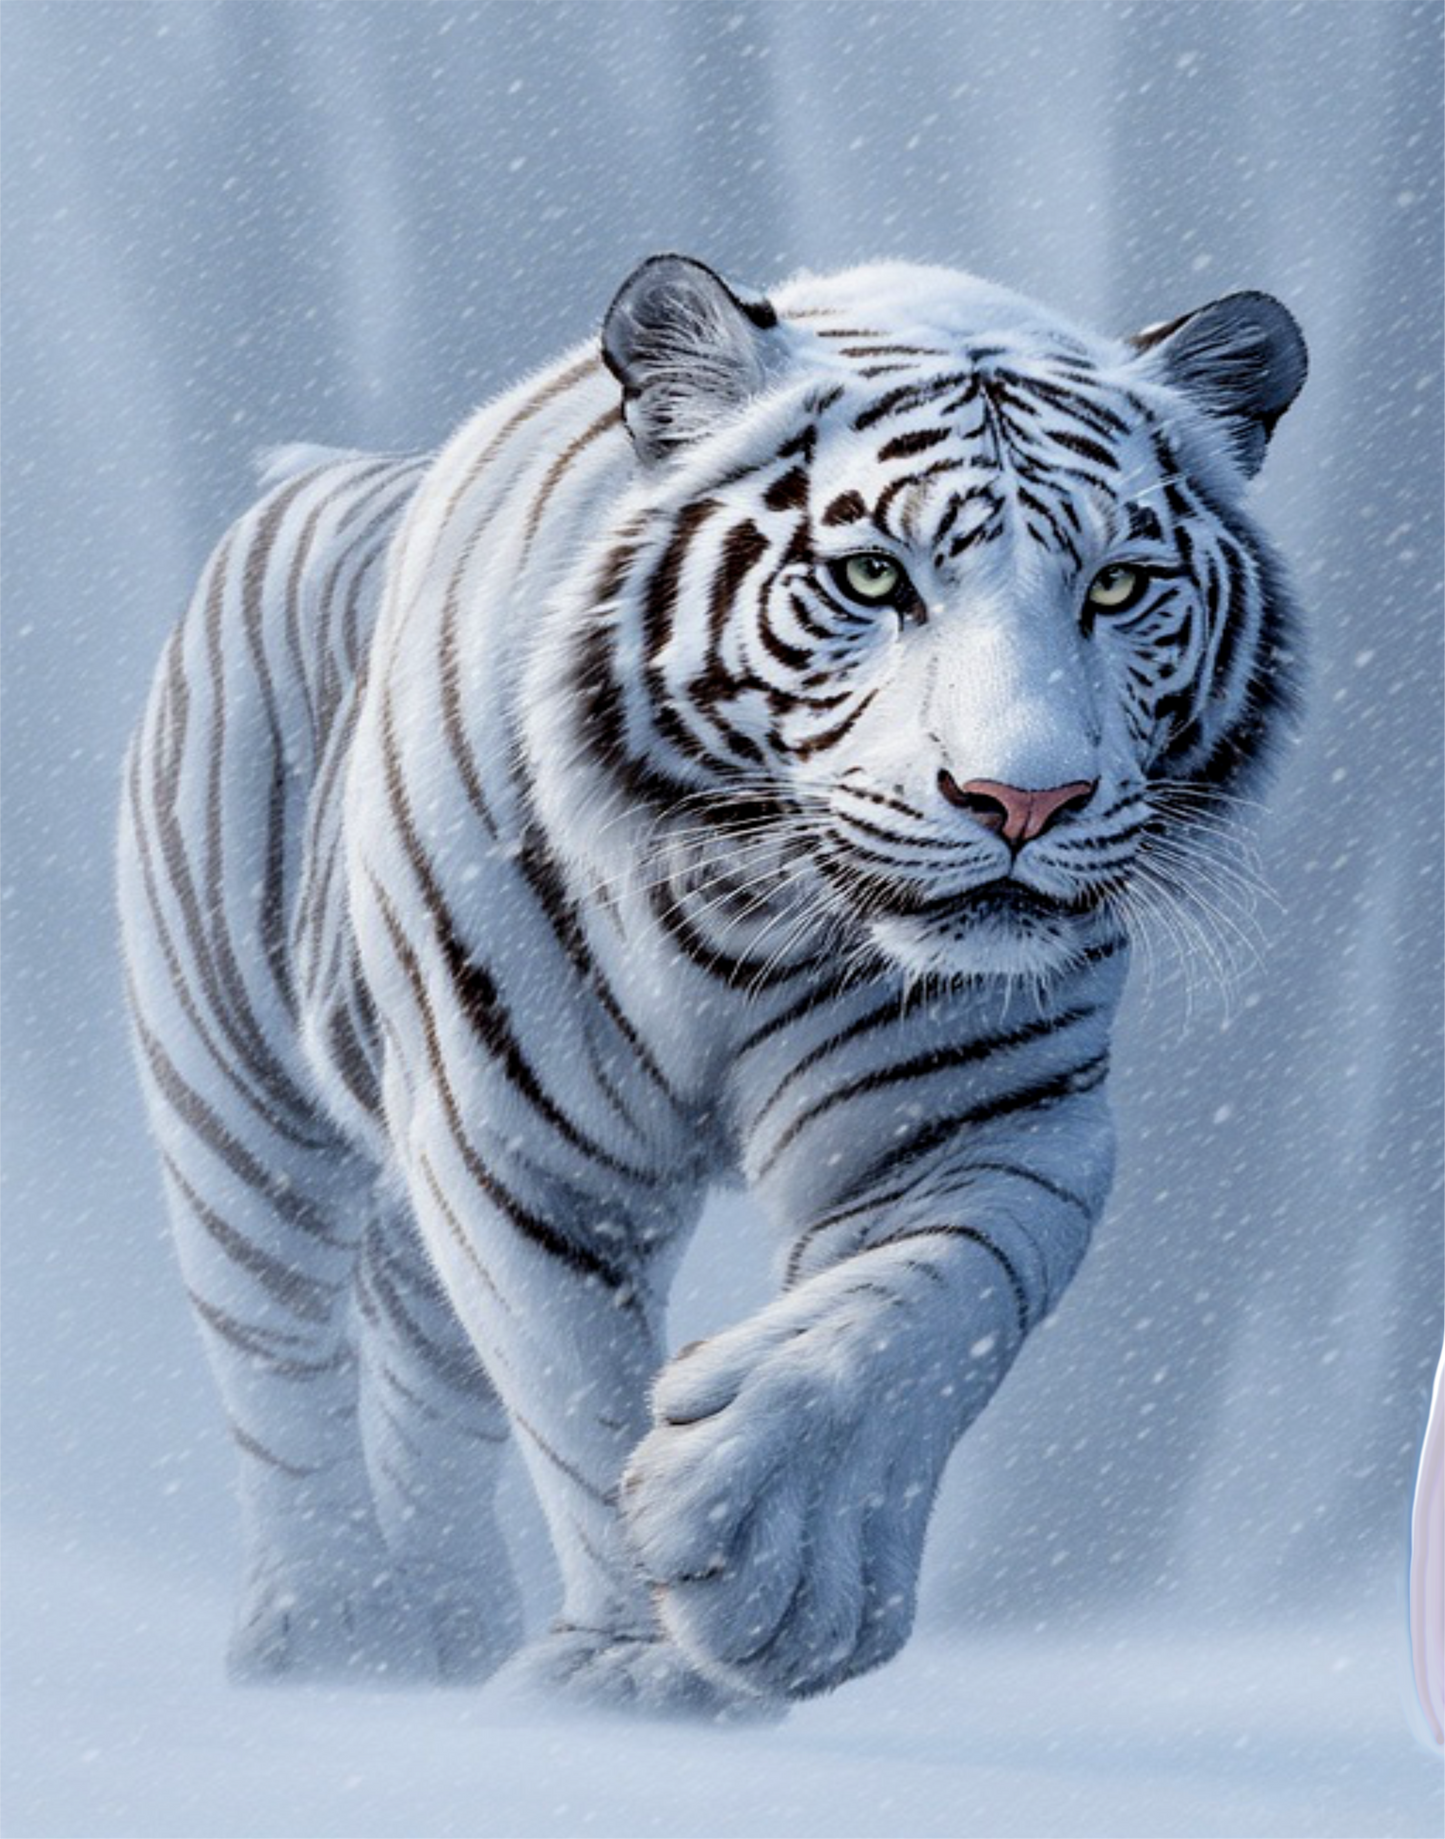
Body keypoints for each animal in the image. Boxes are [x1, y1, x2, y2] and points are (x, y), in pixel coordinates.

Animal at [118, 254, 1306, 1714]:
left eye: (1120, 585)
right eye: (873, 574)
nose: (1023, 799)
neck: (757, 910)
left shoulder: (978, 1115)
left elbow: (917, 1315)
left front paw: (779, 1569)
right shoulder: (518, 1143)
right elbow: (574, 1392)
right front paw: (639, 1659)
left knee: (422, 1367)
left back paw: (449, 1621)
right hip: (237, 1094)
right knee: (277, 1351)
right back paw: (332, 1628)